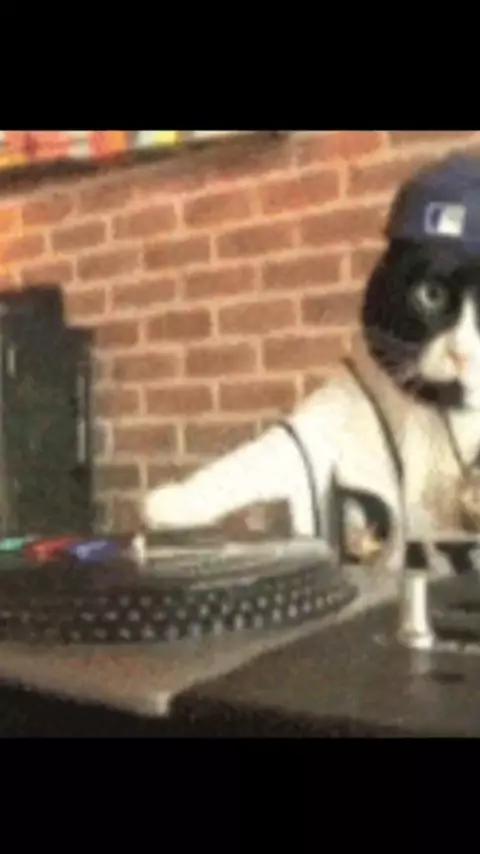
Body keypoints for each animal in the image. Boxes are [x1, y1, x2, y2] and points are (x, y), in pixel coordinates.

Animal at [143, 154, 480, 574]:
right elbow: (258, 456)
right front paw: (170, 502)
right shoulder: (330, 420)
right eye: (430, 295)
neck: (444, 413)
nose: (461, 353)